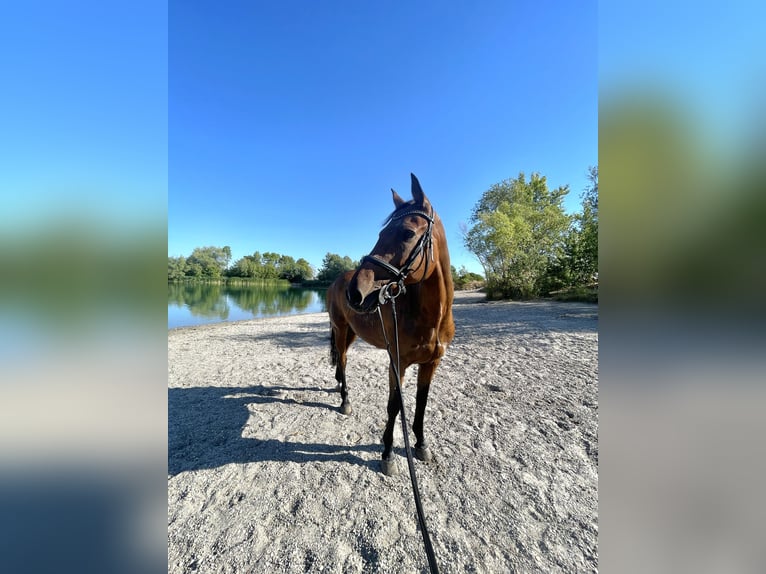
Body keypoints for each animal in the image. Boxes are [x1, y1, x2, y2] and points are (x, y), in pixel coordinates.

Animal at [326, 174, 456, 476]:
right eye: (380, 234)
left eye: (407, 233)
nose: (355, 292)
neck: (431, 318)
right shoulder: (397, 363)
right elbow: (394, 406)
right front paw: (387, 454)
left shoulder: (431, 363)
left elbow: (421, 402)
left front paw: (421, 444)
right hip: (341, 329)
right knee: (344, 361)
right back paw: (345, 400)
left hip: (352, 332)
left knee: (342, 360)